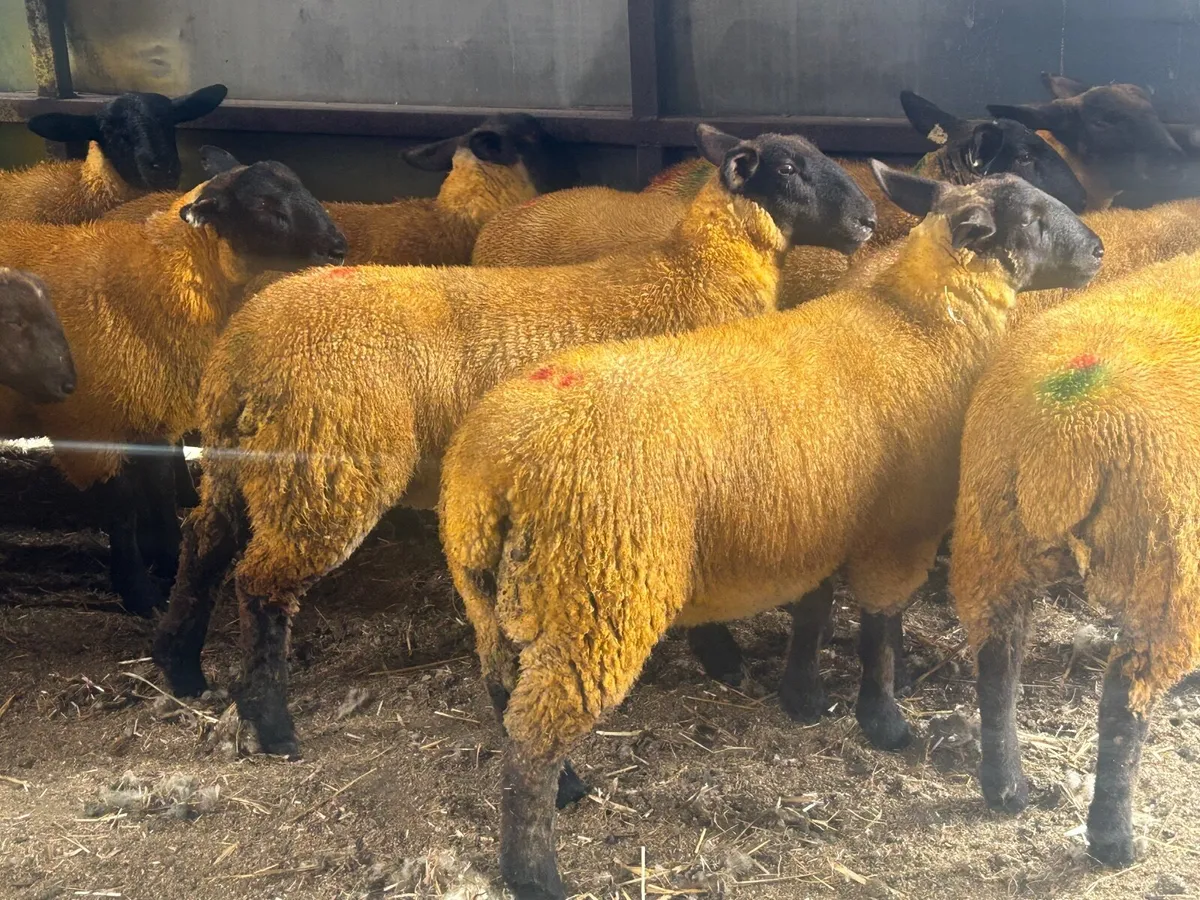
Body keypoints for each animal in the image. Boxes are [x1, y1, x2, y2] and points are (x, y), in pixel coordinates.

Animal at [150, 124, 878, 757]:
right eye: (790, 169)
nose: (871, 219)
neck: (695, 274)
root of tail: (244, 346)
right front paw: (725, 658)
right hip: (324, 465)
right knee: (260, 583)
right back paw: (272, 724)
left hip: (241, 462)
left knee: (204, 542)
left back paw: (180, 665)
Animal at [437, 166, 1103, 900]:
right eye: (1033, 221)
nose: (1099, 251)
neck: (921, 330)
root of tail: (494, 462)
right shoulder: (897, 528)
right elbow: (880, 628)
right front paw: (885, 721)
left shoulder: (816, 521)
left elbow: (814, 612)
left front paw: (804, 696)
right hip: (597, 594)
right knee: (533, 740)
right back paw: (535, 870)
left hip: (493, 590)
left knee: (506, 692)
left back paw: (566, 788)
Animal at [949, 250, 1200, 868]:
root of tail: (1066, 434)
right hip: (1163, 573)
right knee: (1123, 703)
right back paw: (1113, 839)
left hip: (990, 541)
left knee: (997, 664)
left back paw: (1006, 788)